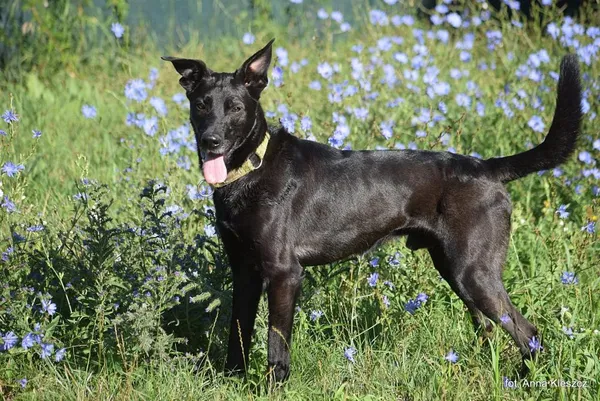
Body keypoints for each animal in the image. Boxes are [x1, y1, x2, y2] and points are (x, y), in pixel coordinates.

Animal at [163, 40, 580, 382]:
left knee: (529, 333)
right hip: (456, 271)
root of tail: (488, 167)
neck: (252, 168)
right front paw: (232, 382)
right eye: (201, 105)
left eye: (235, 108)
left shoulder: (284, 273)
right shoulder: (244, 271)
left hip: (473, 272)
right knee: (492, 330)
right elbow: (239, 334)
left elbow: (276, 346)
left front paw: (270, 389)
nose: (211, 141)